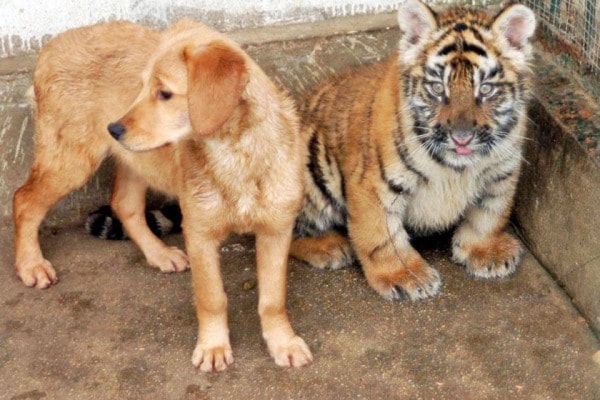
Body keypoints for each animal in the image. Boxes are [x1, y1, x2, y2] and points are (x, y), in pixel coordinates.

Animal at [11, 20, 312, 372]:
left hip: (136, 159)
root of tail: (50, 46)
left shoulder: (277, 230)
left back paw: (158, 254)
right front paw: (213, 347)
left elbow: (273, 300)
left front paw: (283, 342)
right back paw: (31, 265)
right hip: (71, 161)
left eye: (164, 93)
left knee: (124, 205)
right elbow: (211, 298)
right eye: (140, 87)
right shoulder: (198, 232)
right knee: (23, 200)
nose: (113, 129)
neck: (236, 153)